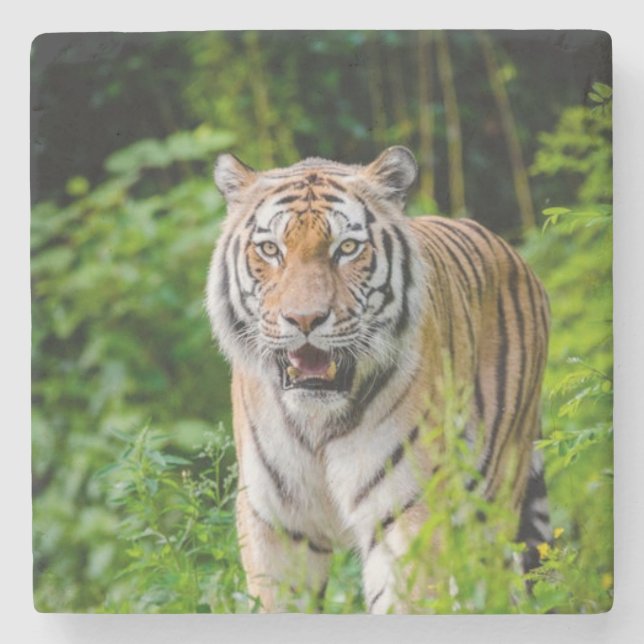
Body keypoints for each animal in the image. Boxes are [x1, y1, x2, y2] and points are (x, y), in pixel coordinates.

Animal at [205, 146, 550, 613]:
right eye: (271, 249)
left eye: (347, 248)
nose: (304, 319)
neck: (317, 422)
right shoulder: (276, 523)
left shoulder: (407, 512)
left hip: (493, 500)